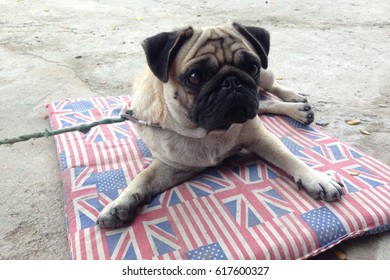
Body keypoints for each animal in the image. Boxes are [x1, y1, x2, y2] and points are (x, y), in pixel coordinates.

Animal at [97, 21, 344, 228]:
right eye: (194, 77)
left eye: (252, 67)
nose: (232, 82)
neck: (208, 133)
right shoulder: (173, 165)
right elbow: (143, 177)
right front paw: (118, 204)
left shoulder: (260, 137)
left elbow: (288, 157)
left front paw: (316, 178)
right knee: (264, 105)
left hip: (266, 77)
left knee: (272, 90)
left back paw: (295, 101)